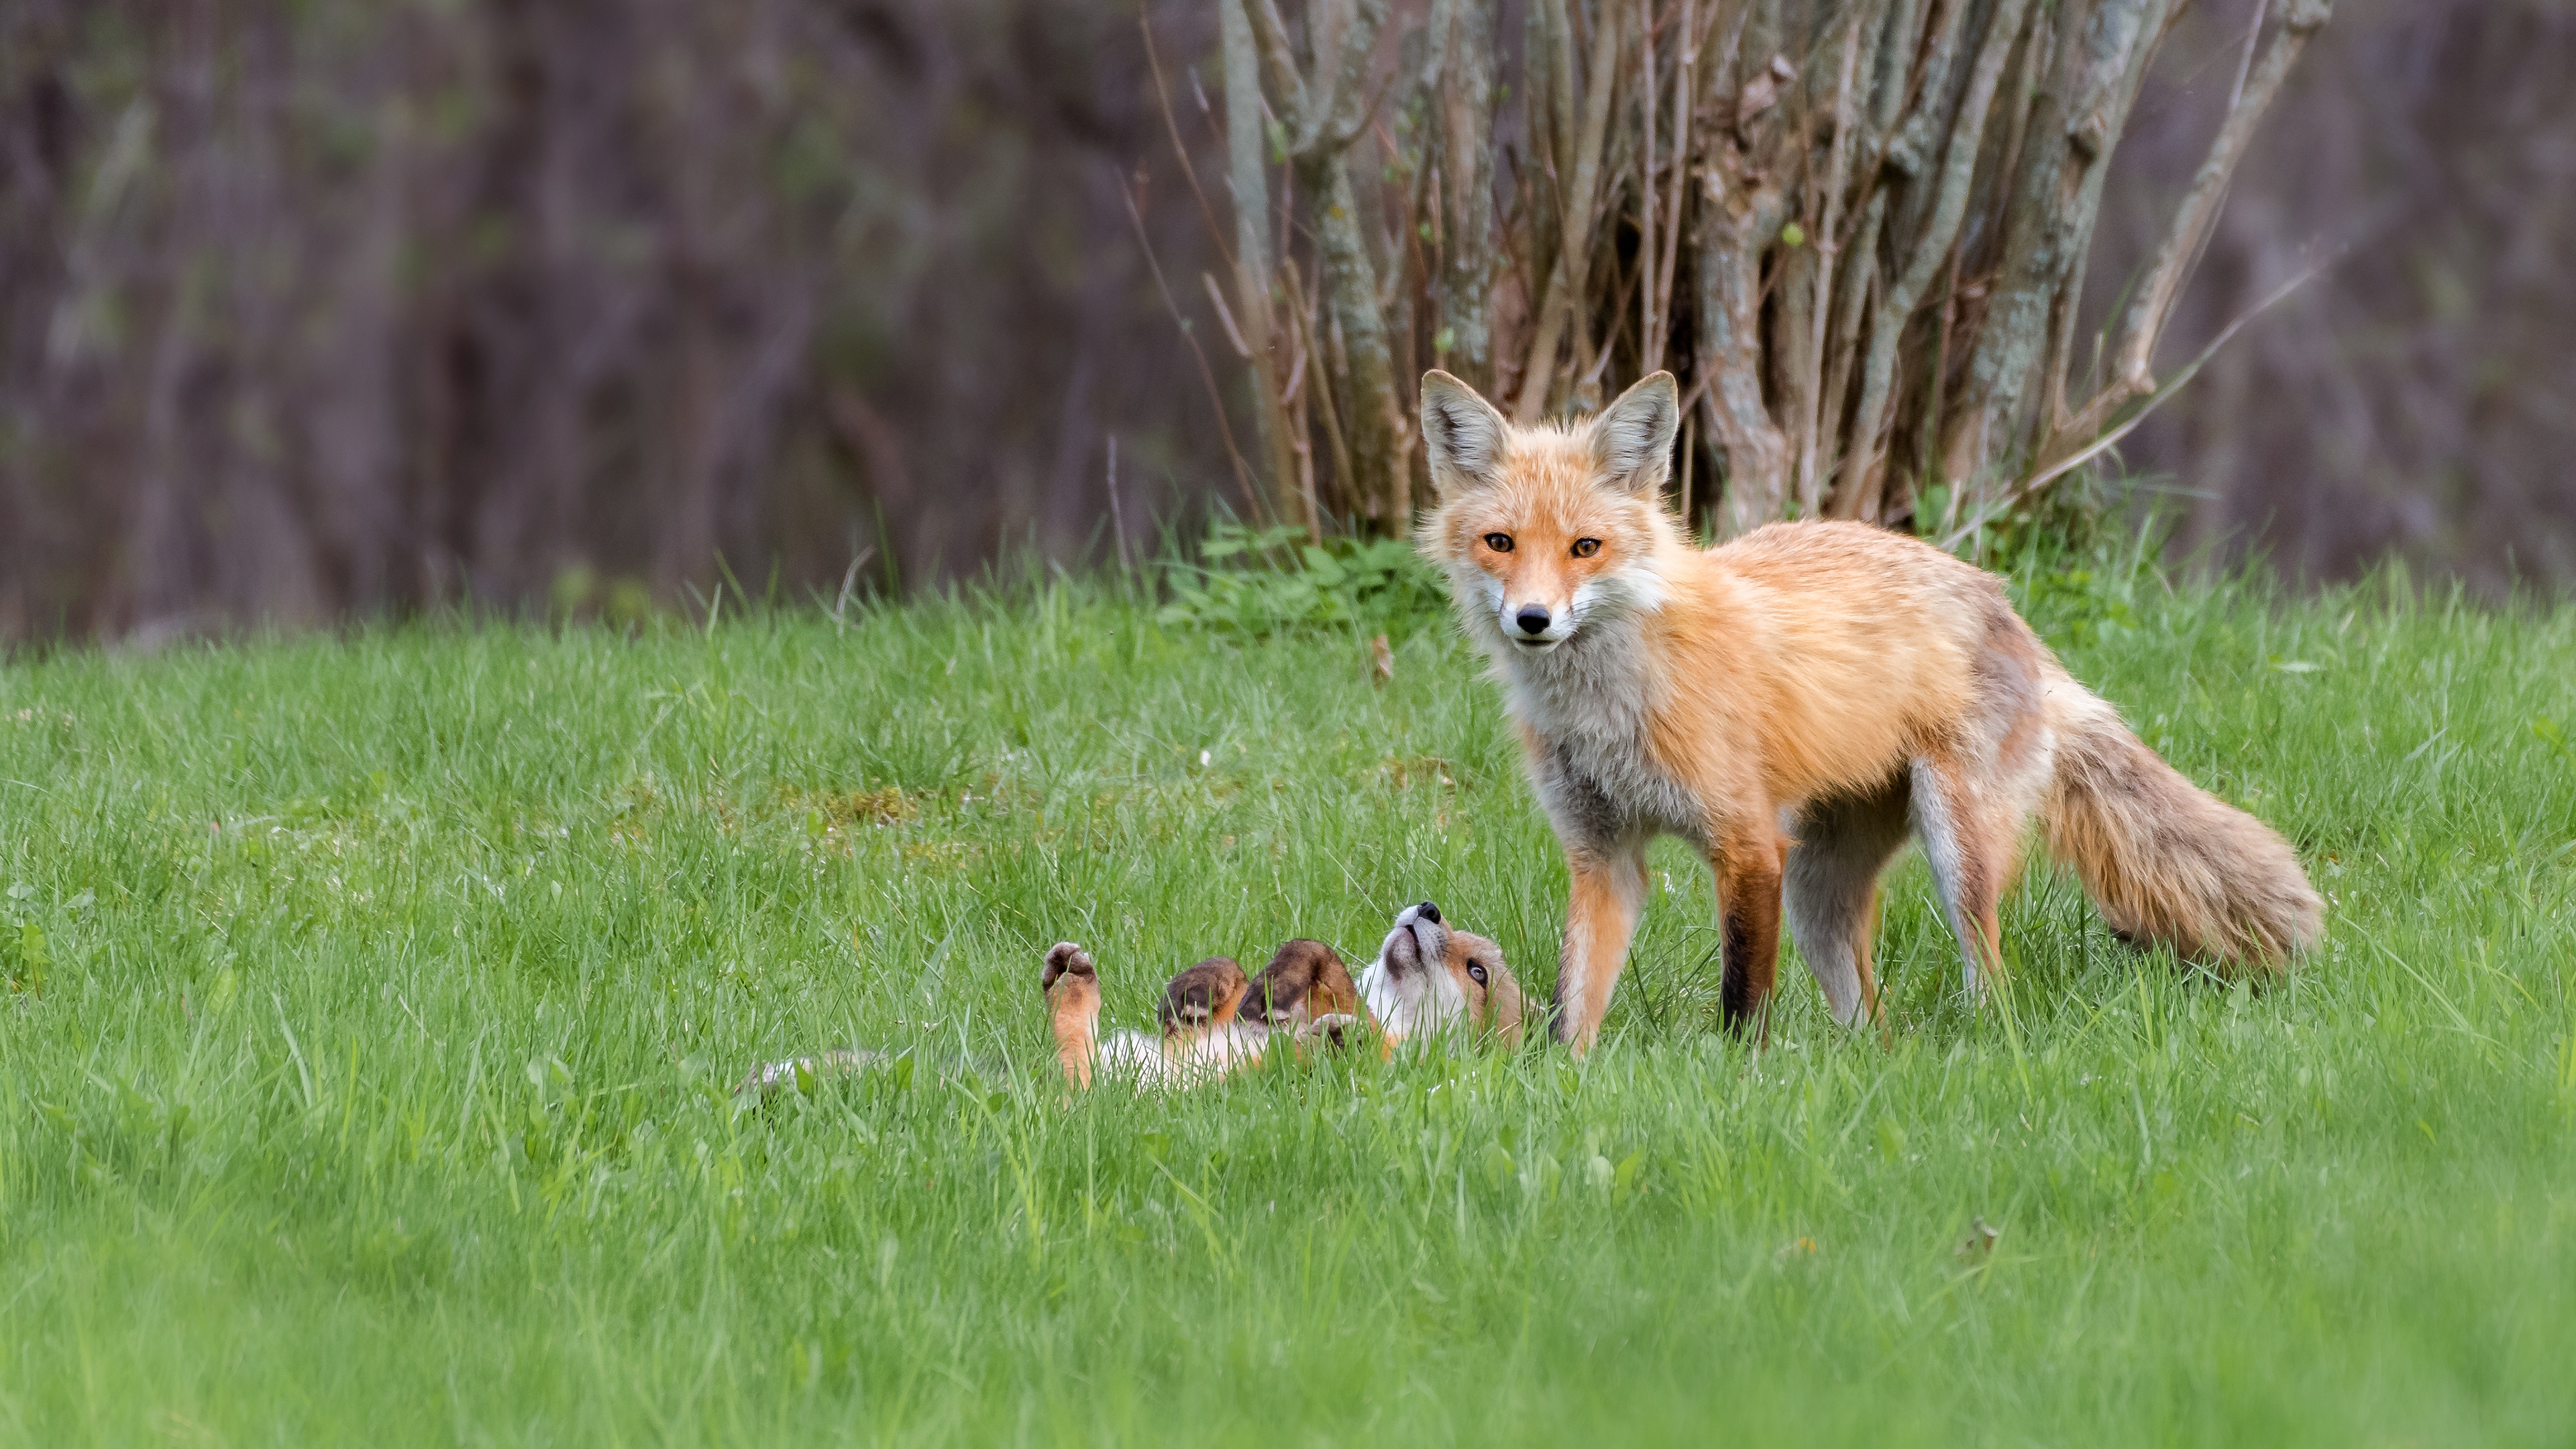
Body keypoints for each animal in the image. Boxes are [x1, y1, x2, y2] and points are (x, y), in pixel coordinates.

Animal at [1421, 366, 2328, 1046]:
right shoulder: (1603, 856)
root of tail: (2007, 610)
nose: (1533, 619)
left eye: (1586, 548)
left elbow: (1742, 1000)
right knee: (1871, 1018)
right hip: (1819, 896)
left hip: (1951, 850)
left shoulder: (1748, 847)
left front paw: (1735, 1081)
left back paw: (1982, 1047)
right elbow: (1574, 1003)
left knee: (1990, 979)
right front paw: (1563, 1078)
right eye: (1501, 544)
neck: (1613, 703)